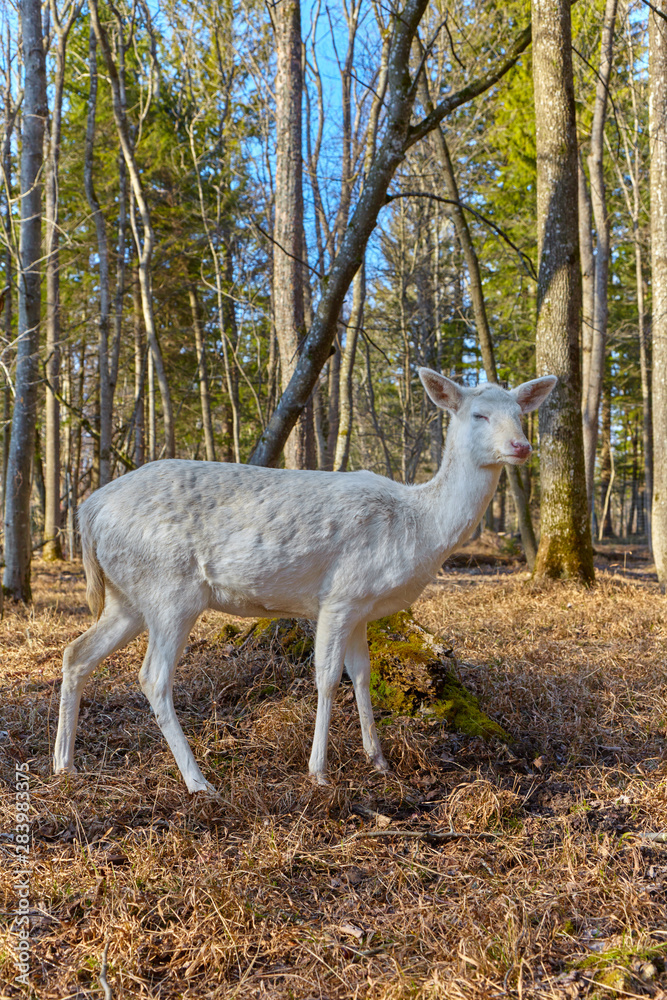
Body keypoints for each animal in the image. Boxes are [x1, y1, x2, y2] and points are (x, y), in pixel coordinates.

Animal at [53, 369, 556, 794]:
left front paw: (379, 760)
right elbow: (328, 678)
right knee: (152, 677)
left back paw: (65, 765)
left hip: (127, 595)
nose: (521, 446)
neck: (418, 527)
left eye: (520, 413)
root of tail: (88, 510)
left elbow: (362, 675)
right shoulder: (339, 594)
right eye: (479, 414)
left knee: (76, 653)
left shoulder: (362, 607)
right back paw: (198, 782)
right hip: (169, 589)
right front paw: (319, 772)